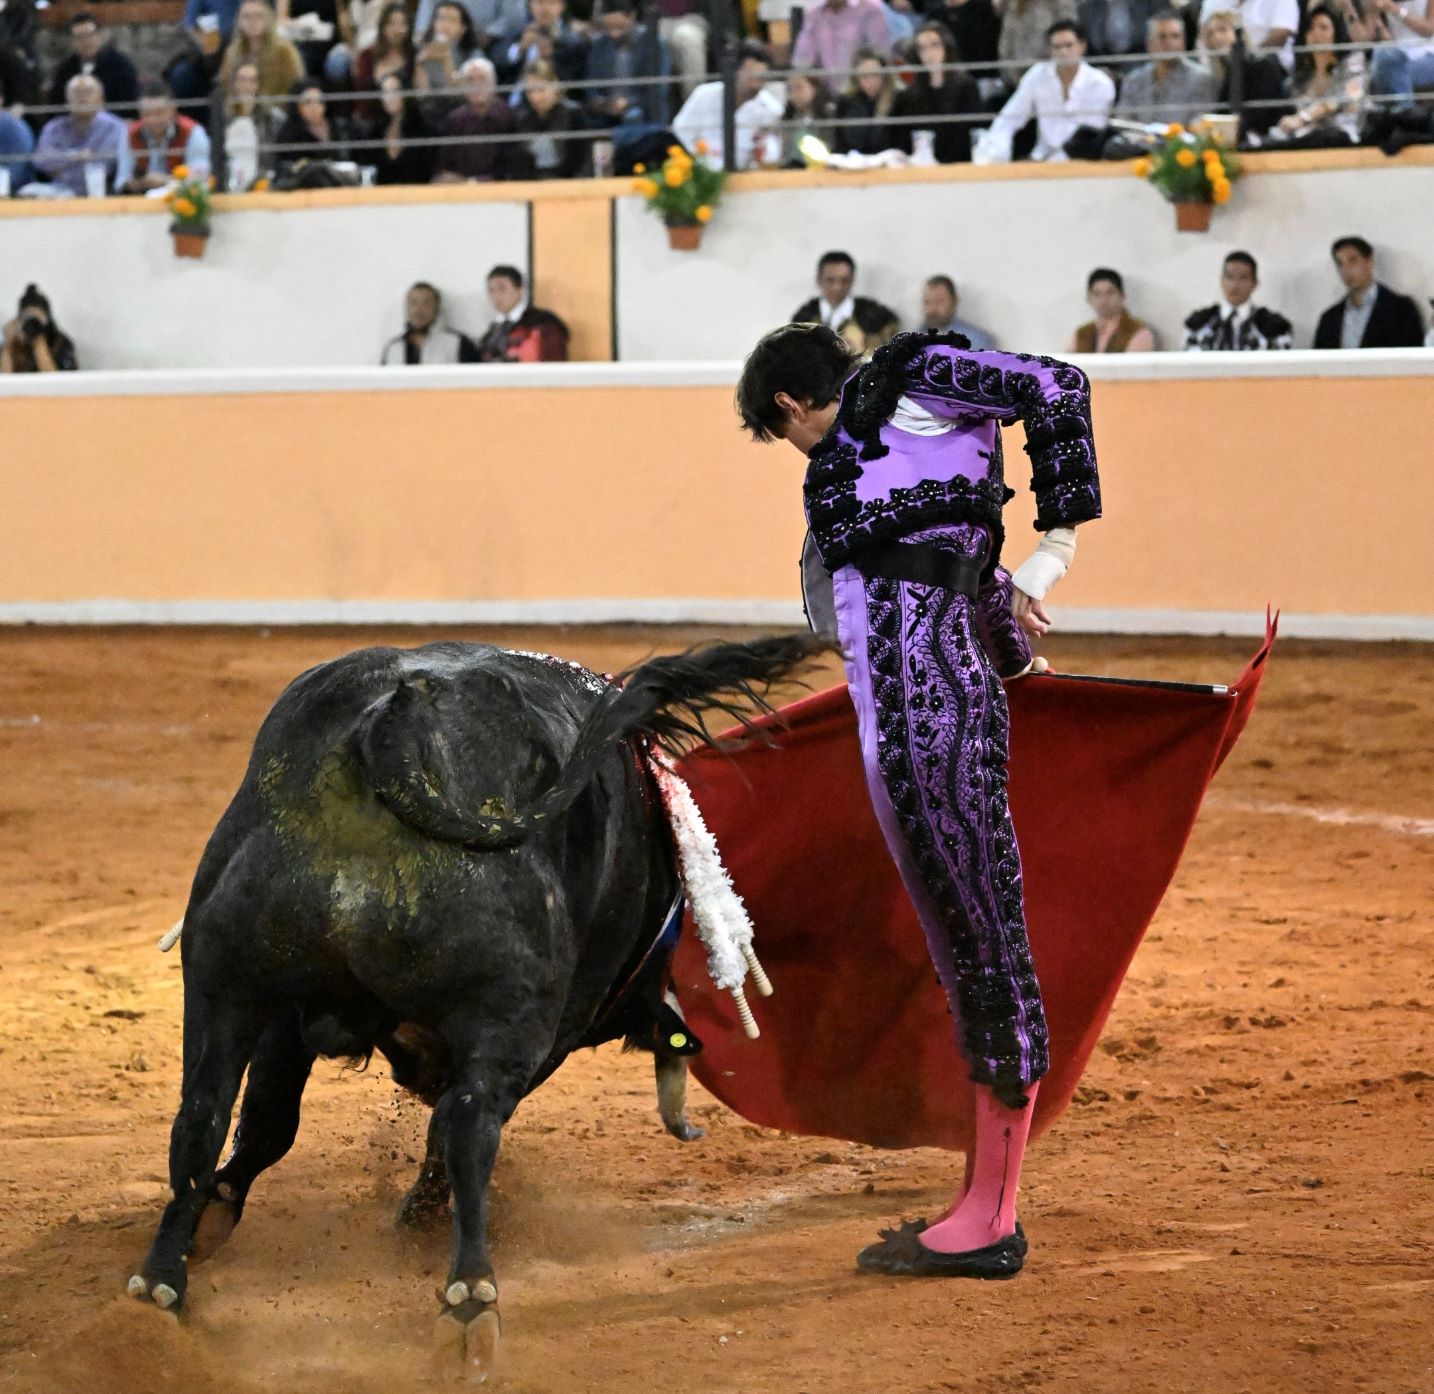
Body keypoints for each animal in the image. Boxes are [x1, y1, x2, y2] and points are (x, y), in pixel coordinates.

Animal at [126, 633, 826, 1380]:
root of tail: (397, 725)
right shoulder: (544, 1033)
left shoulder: (285, 1013)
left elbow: (265, 1124)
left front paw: (217, 1212)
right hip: (509, 1016)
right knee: (467, 1127)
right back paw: (469, 1300)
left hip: (222, 979)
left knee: (199, 1118)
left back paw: (160, 1286)